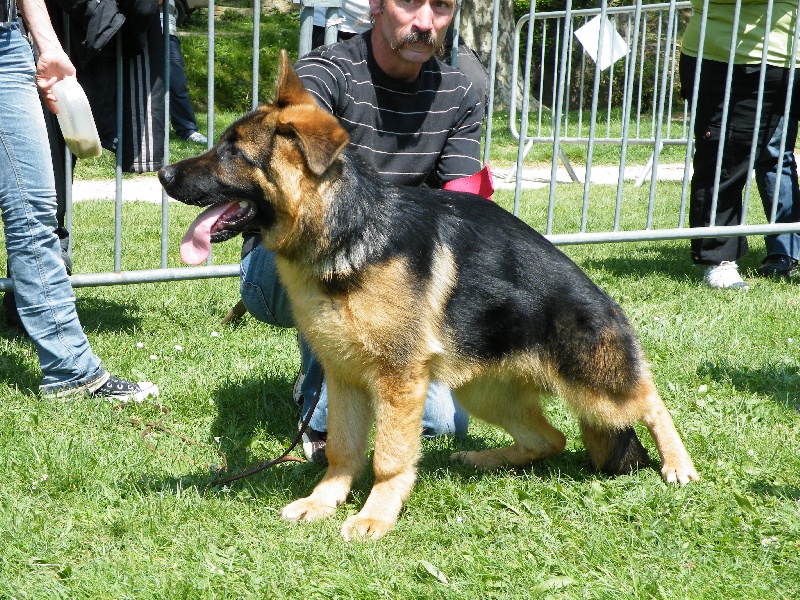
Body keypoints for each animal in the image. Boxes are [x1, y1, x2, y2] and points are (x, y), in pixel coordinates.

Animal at [159, 50, 696, 540]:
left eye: (233, 153)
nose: (162, 175)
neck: (348, 233)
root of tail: (606, 304)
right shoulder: (344, 377)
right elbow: (342, 449)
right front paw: (324, 501)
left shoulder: (398, 381)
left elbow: (389, 459)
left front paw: (375, 515)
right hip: (481, 391)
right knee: (552, 437)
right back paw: (485, 457)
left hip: (596, 386)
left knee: (650, 400)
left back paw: (678, 464)